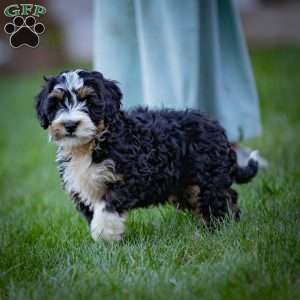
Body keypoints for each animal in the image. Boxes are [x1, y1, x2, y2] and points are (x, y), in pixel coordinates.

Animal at [34, 69, 256, 241]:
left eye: (88, 100)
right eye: (56, 104)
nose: (70, 125)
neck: (91, 144)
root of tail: (218, 128)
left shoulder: (135, 176)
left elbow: (108, 205)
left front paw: (104, 232)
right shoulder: (80, 189)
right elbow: (93, 213)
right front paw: (106, 242)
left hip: (208, 175)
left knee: (218, 200)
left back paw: (218, 230)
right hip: (187, 186)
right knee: (219, 198)